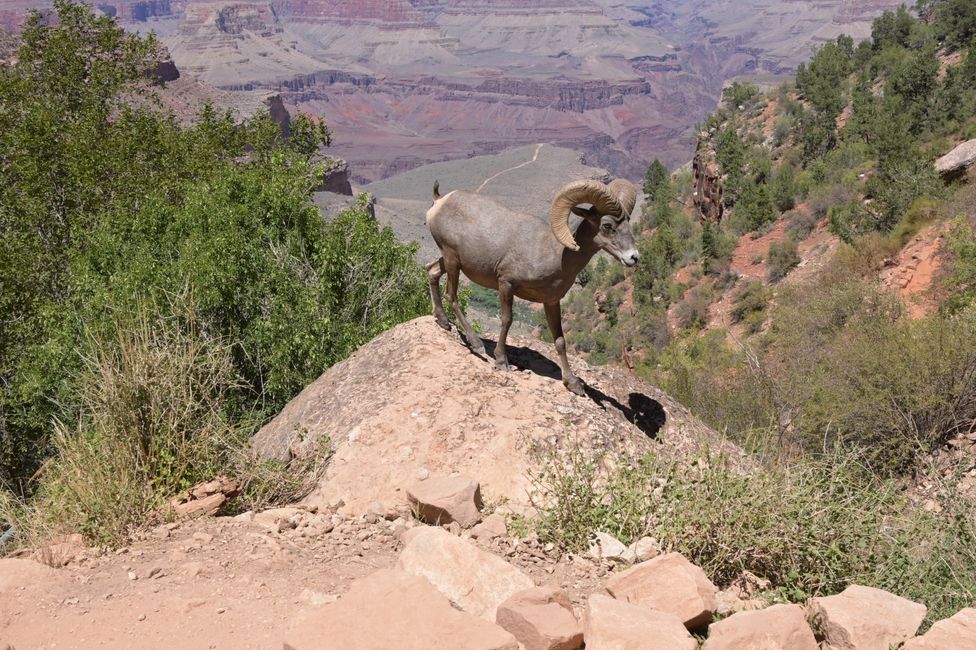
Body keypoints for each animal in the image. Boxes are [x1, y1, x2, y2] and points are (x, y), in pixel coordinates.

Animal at [425, 177, 640, 395]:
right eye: (607, 225)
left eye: (628, 223)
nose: (633, 257)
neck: (553, 254)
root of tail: (440, 201)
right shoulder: (506, 284)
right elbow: (507, 320)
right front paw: (502, 361)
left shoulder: (551, 302)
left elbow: (560, 340)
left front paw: (573, 384)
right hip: (452, 260)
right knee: (451, 295)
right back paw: (476, 344)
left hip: (450, 261)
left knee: (431, 272)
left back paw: (443, 322)